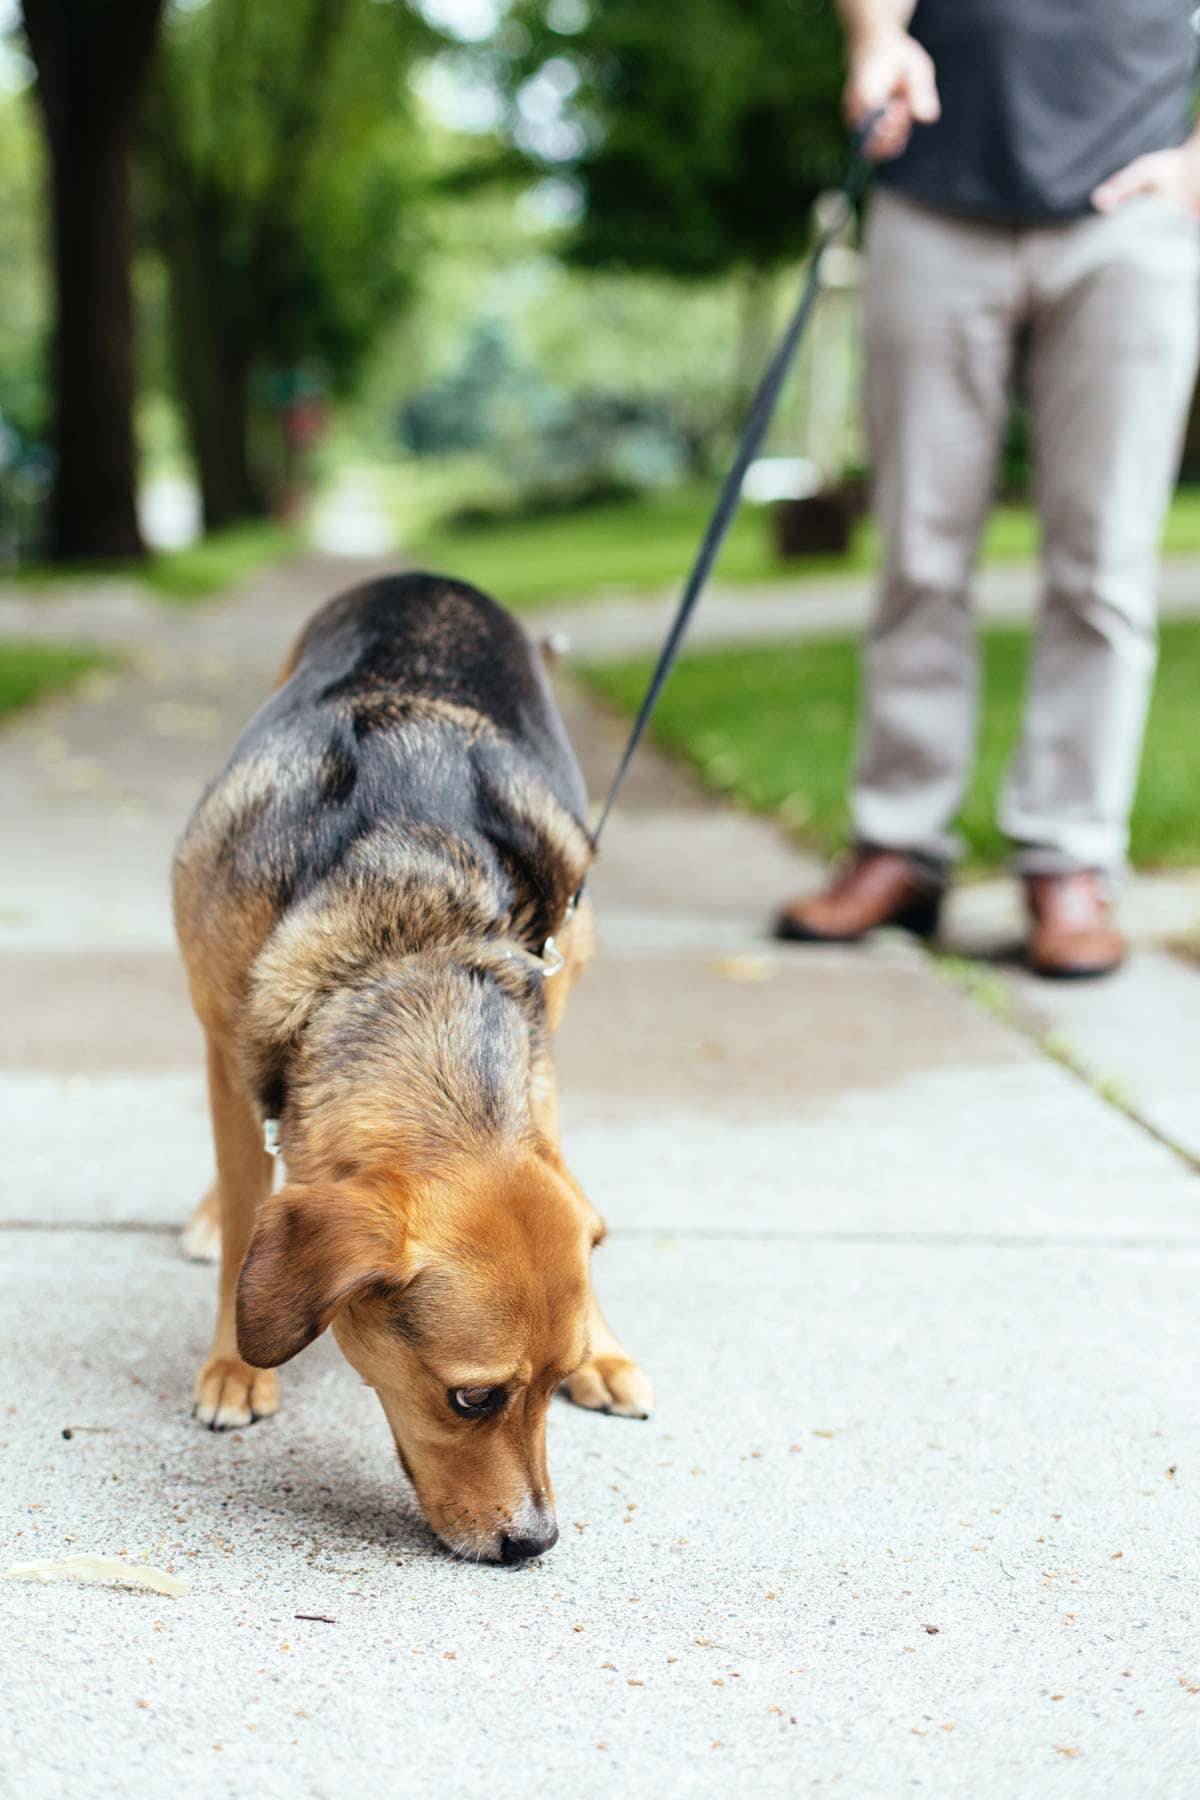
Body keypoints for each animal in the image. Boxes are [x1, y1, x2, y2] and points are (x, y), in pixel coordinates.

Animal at [173, 568, 651, 1555]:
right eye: (472, 1398)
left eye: (555, 1381)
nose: (536, 1543)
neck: (402, 942)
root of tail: (429, 576)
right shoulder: (226, 1043)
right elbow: (244, 1210)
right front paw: (237, 1363)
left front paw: (607, 1346)